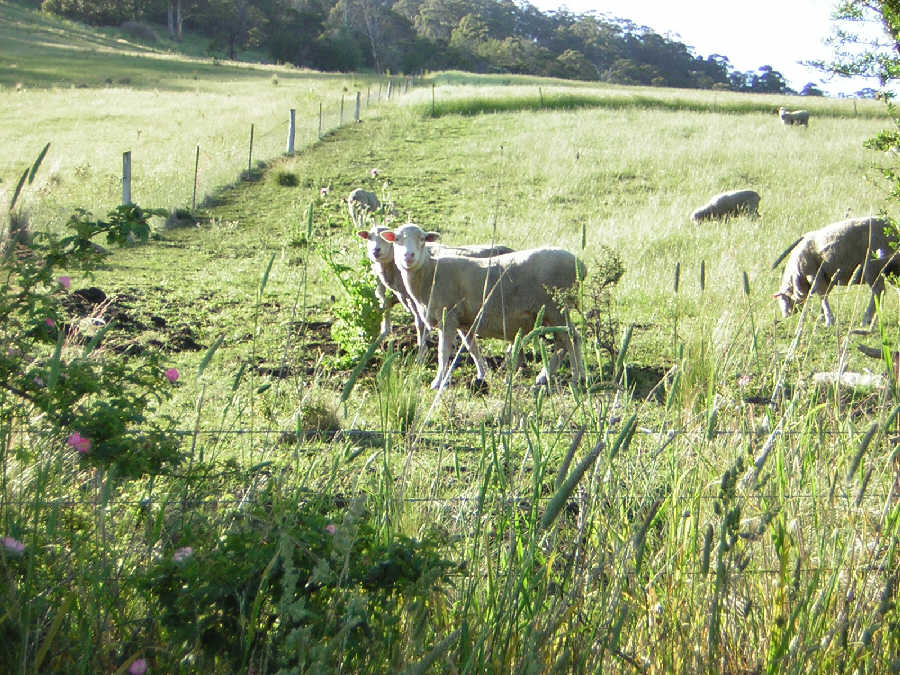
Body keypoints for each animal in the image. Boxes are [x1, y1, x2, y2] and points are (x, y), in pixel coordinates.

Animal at [382, 223, 588, 390]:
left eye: (422, 239)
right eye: (397, 239)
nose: (408, 256)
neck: (430, 274)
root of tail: (580, 264)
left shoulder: (448, 316)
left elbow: (443, 352)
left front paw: (438, 382)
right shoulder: (463, 321)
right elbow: (472, 347)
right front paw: (482, 375)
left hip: (557, 308)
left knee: (572, 338)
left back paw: (578, 377)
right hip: (552, 312)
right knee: (562, 342)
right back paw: (544, 377)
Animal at [772, 217, 900, 328]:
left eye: (782, 299)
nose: (785, 316)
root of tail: (893, 230)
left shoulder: (815, 275)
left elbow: (822, 296)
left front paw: (828, 320)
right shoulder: (826, 278)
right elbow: (823, 296)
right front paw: (822, 317)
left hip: (872, 267)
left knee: (877, 291)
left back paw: (866, 320)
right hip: (891, 270)